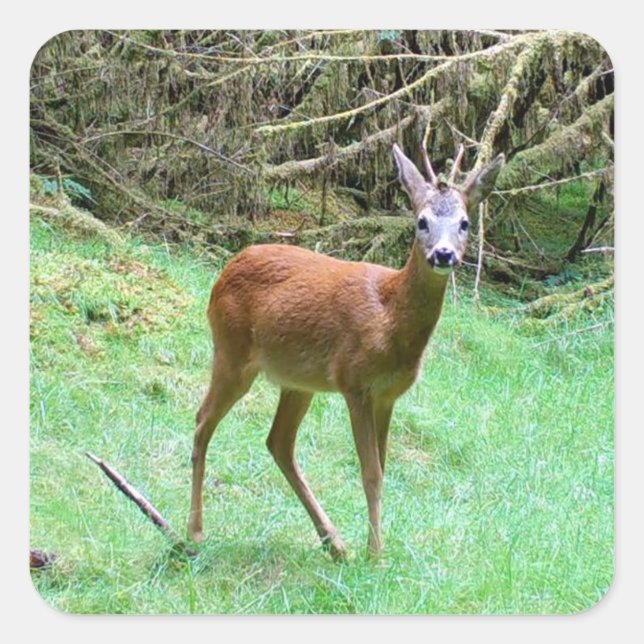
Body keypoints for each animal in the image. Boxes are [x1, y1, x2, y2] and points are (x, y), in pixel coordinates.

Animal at [188, 141, 504, 560]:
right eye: (421, 221)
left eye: (465, 223)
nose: (443, 254)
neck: (389, 319)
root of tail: (225, 271)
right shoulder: (355, 383)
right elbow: (370, 473)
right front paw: (377, 555)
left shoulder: (388, 396)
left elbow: (382, 468)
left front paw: (371, 549)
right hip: (231, 352)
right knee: (203, 421)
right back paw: (195, 532)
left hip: (297, 381)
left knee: (278, 442)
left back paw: (334, 542)